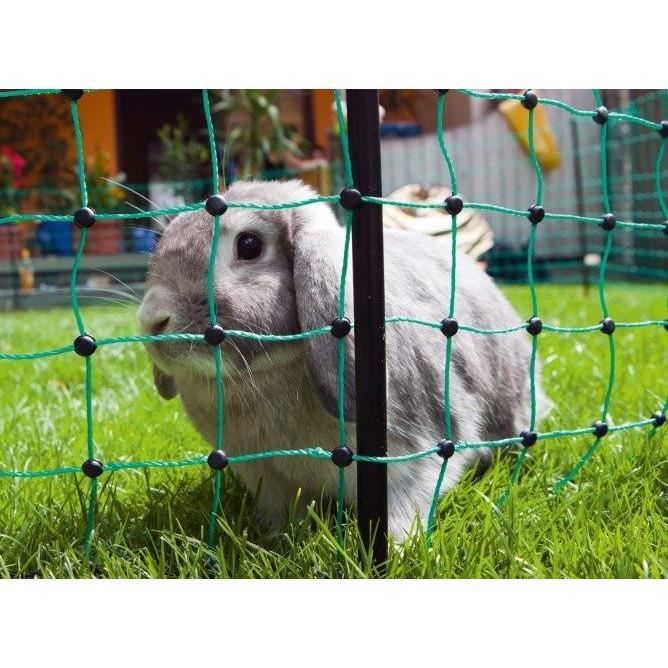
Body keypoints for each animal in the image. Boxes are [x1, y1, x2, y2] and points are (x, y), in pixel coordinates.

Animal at [138, 179, 551, 541]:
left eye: (250, 245)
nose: (152, 320)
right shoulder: (268, 478)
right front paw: (275, 541)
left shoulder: (413, 460)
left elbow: (405, 508)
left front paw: (396, 550)